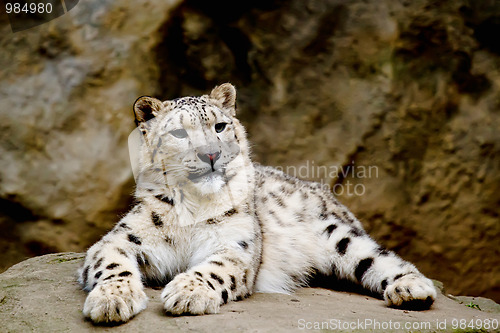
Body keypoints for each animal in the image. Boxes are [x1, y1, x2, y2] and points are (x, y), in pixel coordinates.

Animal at [76, 82, 436, 322]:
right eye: (179, 133)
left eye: (220, 126)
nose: (211, 154)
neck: (194, 205)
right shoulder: (122, 238)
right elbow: (111, 262)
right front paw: (111, 300)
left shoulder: (237, 244)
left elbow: (216, 268)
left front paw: (188, 292)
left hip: (338, 236)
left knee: (378, 257)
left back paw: (412, 290)